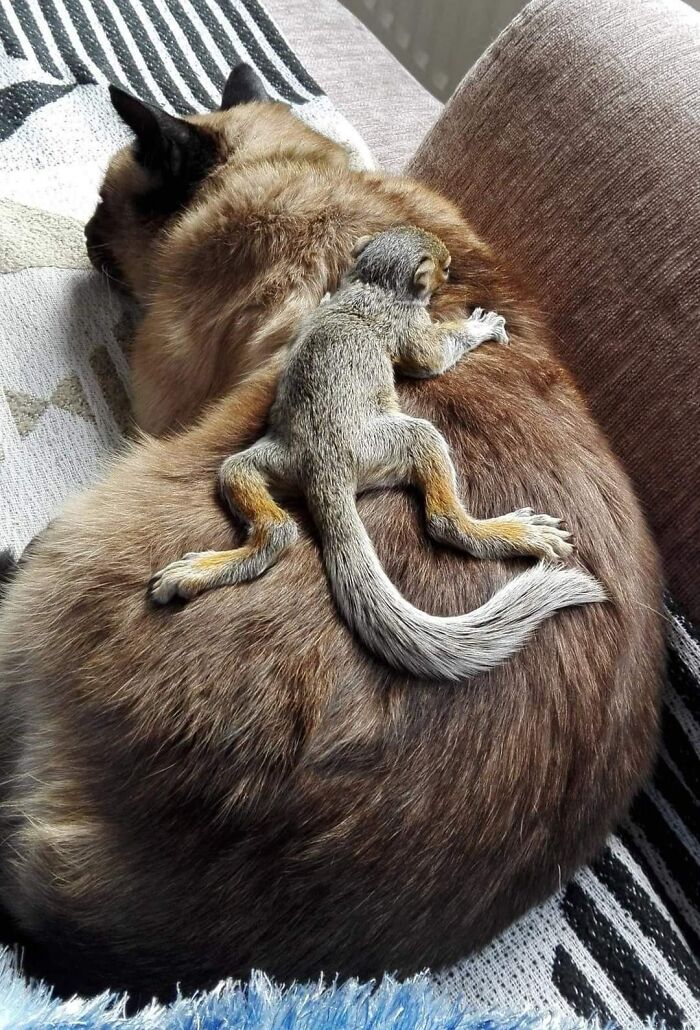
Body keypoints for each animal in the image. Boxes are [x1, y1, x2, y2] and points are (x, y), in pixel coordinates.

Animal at [149, 226, 605, 681]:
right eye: (445, 268)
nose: (451, 271)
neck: (372, 284)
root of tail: (324, 470)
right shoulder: (408, 325)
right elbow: (430, 357)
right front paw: (480, 326)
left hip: (261, 464)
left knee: (272, 524)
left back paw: (199, 569)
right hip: (400, 441)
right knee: (442, 519)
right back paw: (513, 532)